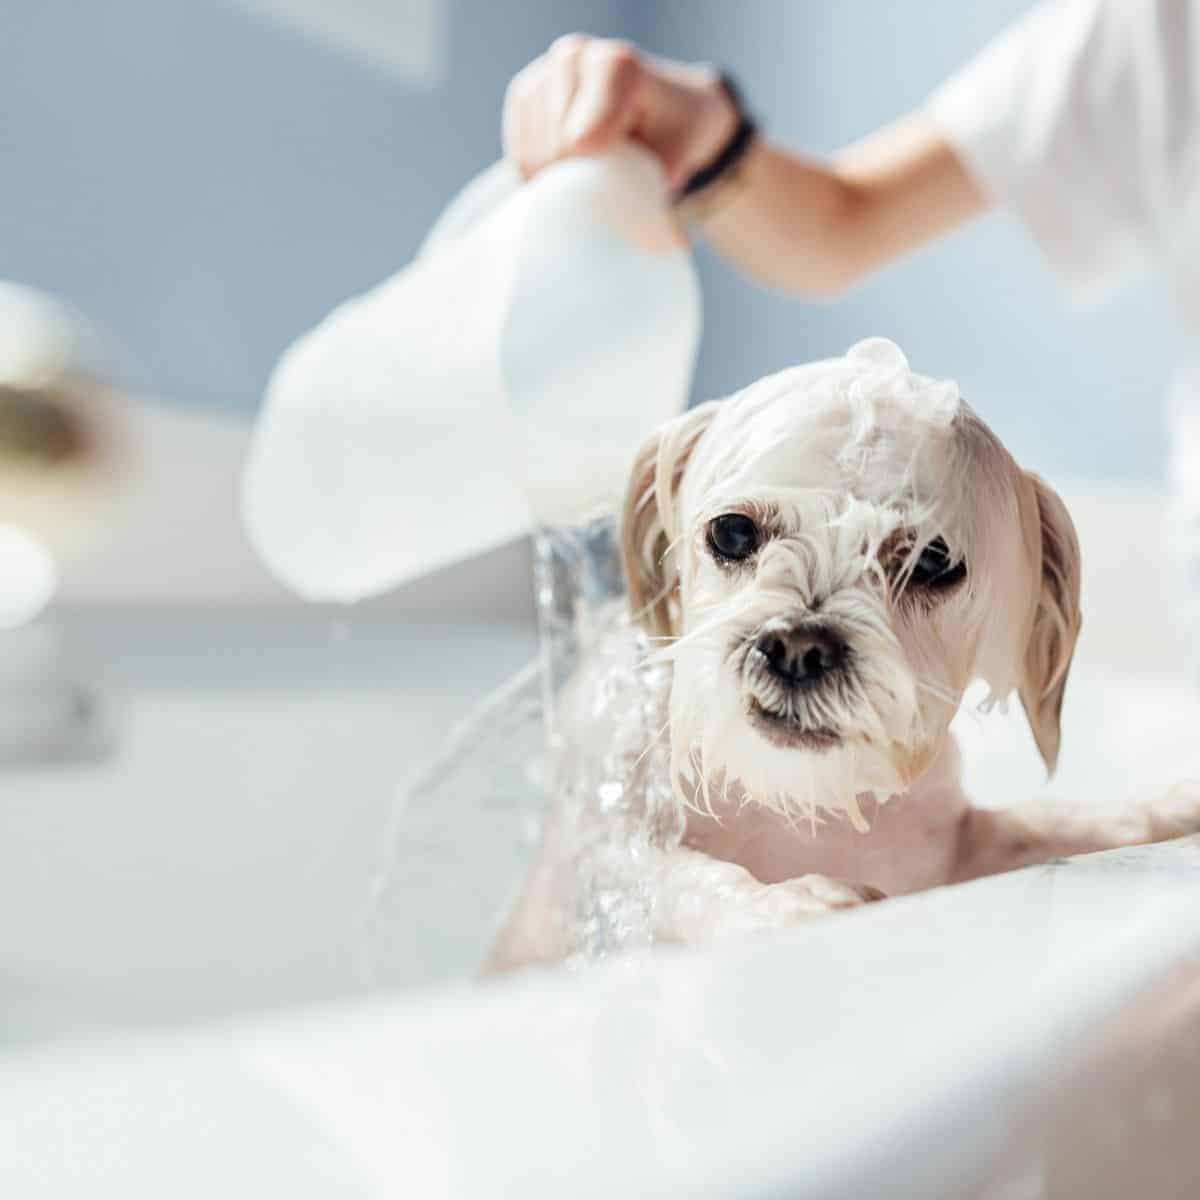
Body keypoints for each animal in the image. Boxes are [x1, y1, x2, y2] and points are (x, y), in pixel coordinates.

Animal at [489, 338, 1200, 964]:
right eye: (733, 532)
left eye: (932, 561)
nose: (797, 647)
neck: (792, 809)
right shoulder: (608, 854)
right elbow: (673, 879)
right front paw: (788, 906)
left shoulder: (950, 848)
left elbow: (1055, 820)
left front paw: (1169, 808)